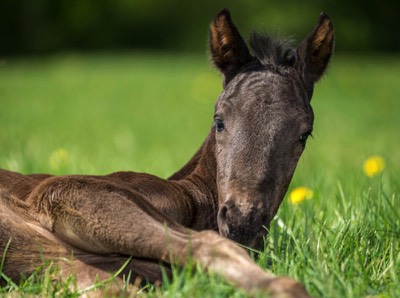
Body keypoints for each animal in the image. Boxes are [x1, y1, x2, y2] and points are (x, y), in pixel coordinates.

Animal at [0, 8, 332, 296]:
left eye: (304, 134)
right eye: (219, 120)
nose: (243, 222)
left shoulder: (75, 269)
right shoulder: (66, 190)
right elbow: (210, 244)